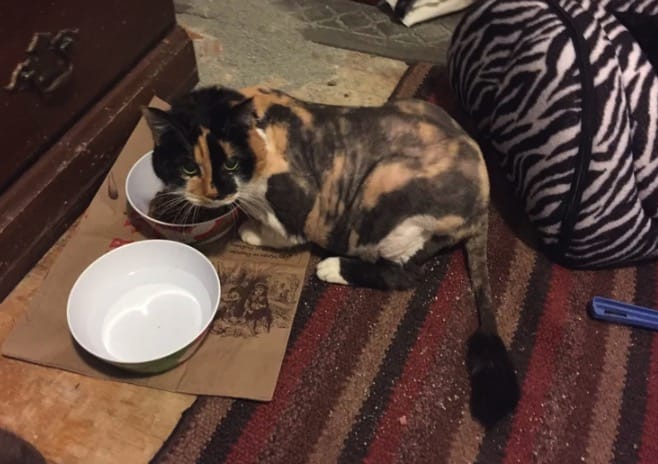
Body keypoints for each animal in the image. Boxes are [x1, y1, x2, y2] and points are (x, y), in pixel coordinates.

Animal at [143, 85, 520, 427]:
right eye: (189, 169)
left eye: (232, 163)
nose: (215, 193)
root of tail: (483, 203)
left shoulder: (301, 201)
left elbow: (281, 232)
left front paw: (250, 230)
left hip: (382, 185)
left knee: (403, 274)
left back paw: (332, 267)